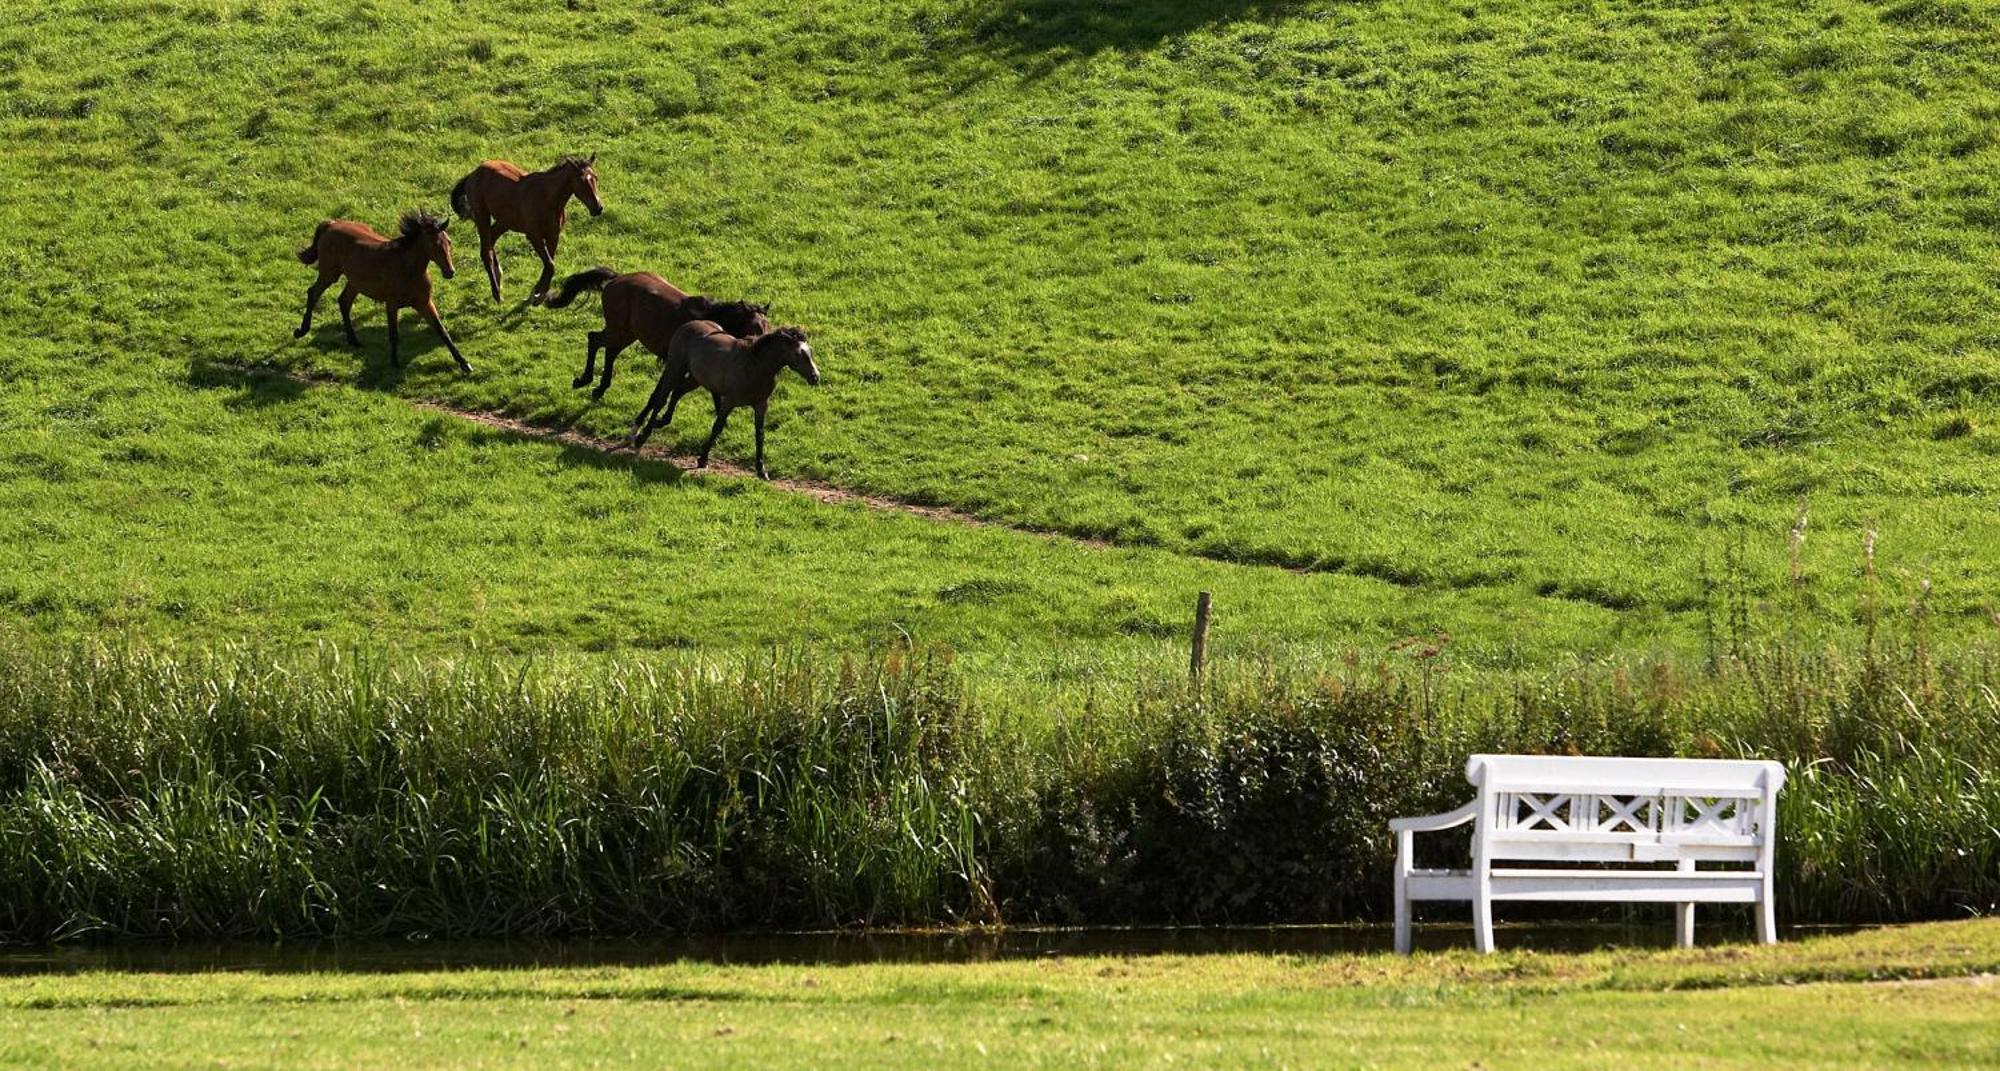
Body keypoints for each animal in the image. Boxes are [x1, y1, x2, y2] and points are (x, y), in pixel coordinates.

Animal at [292, 210, 470, 373]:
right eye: (434, 244)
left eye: (449, 242)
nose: (450, 272)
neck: (408, 270)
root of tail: (331, 224)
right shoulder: (391, 304)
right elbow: (393, 334)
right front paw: (394, 363)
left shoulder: (424, 303)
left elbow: (442, 331)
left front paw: (464, 363)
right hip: (330, 274)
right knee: (313, 293)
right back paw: (301, 331)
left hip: (355, 282)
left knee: (344, 301)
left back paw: (354, 341)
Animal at [450, 154, 604, 305]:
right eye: (582, 181)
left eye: (595, 177)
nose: (598, 208)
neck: (547, 199)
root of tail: (474, 173)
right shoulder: (534, 237)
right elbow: (550, 265)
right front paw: (537, 295)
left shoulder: (553, 236)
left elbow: (549, 265)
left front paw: (537, 293)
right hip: (482, 217)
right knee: (485, 251)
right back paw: (497, 294)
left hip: (505, 221)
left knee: (491, 240)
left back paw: (499, 276)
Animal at [544, 265, 768, 399]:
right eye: (754, 328)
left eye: (767, 327)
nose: (760, 346)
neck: (713, 318)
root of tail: (617, 278)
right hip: (618, 328)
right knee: (594, 339)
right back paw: (585, 380)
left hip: (628, 332)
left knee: (610, 351)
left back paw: (600, 387)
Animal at [624, 319, 812, 479]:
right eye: (798, 353)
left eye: (810, 352)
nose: (815, 377)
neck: (755, 366)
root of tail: (687, 325)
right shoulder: (730, 401)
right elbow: (717, 427)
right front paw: (702, 459)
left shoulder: (761, 404)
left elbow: (759, 434)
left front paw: (761, 470)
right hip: (676, 367)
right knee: (661, 397)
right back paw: (641, 438)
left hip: (696, 378)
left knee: (677, 392)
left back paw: (660, 422)